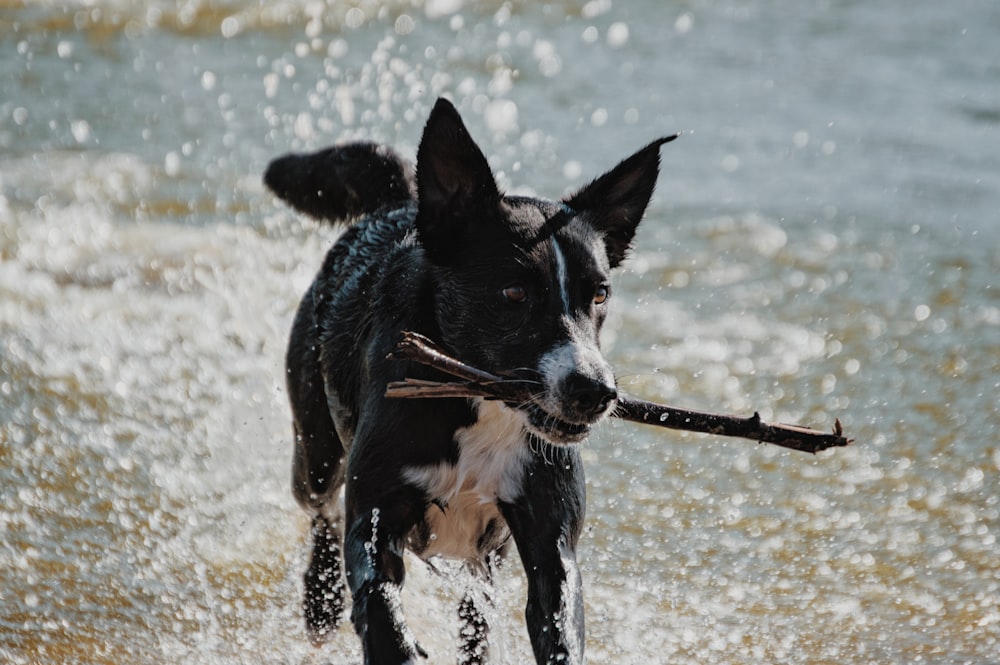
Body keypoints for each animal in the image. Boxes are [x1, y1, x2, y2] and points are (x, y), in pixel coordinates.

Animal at [266, 96, 676, 660]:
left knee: (475, 612)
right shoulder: (377, 510)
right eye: (514, 292)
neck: (482, 410)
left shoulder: (550, 535)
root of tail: (402, 204)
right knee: (320, 506)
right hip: (316, 450)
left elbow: (559, 618)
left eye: (599, 294)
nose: (595, 391)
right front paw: (391, 641)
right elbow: (377, 596)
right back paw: (319, 602)